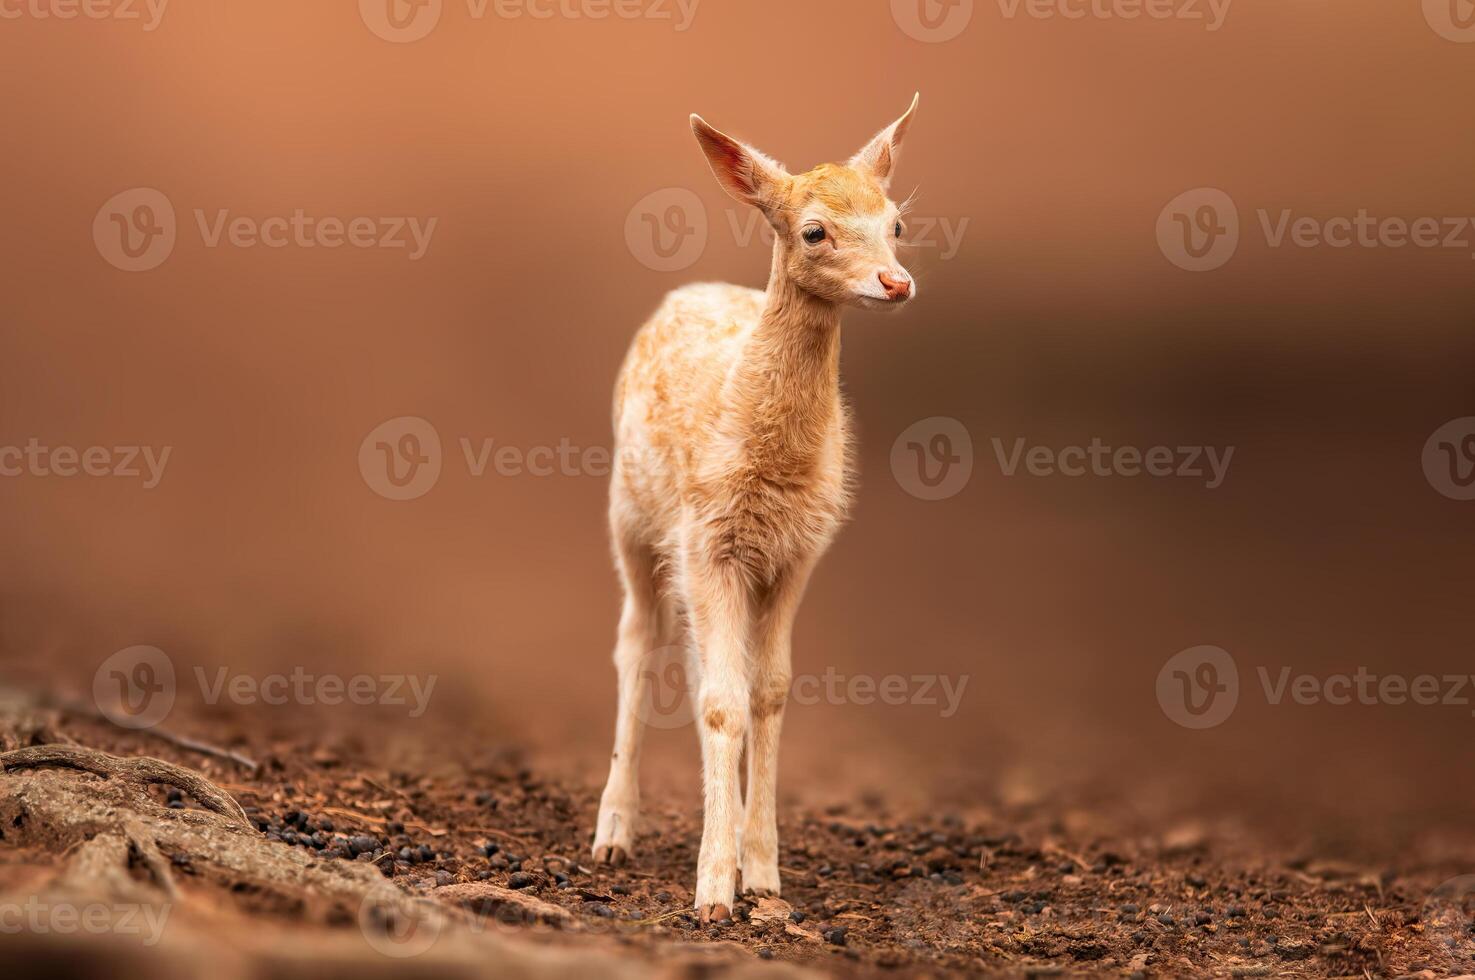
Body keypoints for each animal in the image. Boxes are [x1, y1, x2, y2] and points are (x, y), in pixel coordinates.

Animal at [590, 95, 920, 920]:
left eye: (896, 222)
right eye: (813, 230)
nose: (895, 283)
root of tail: (685, 291)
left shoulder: (797, 549)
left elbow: (765, 693)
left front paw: (763, 874)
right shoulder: (709, 537)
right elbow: (720, 704)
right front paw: (712, 893)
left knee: (696, 660)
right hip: (631, 519)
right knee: (636, 642)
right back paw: (612, 833)